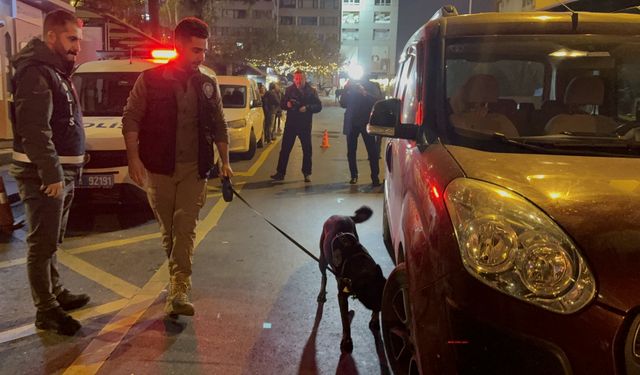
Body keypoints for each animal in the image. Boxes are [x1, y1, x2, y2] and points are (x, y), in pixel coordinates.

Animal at [318, 207, 388, 354]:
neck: (362, 268)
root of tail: (341, 215)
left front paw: (374, 320)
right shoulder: (342, 296)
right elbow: (345, 321)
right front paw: (347, 341)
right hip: (322, 259)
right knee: (324, 276)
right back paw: (321, 293)